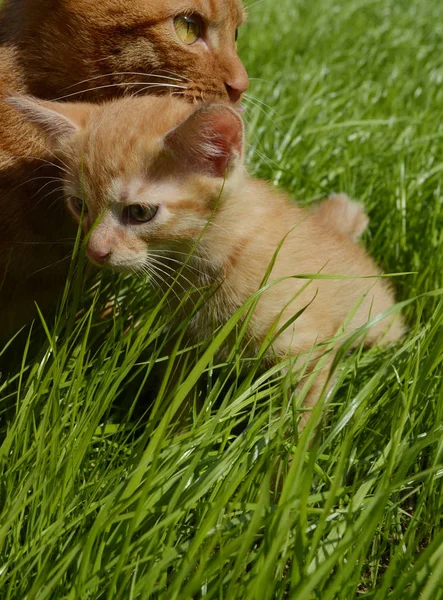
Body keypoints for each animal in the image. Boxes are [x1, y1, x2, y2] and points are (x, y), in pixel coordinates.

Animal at [8, 96, 408, 418]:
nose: (94, 250)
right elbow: (177, 398)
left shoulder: (306, 349)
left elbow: (299, 426)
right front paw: (170, 442)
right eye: (80, 206)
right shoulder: (185, 341)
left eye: (140, 213)